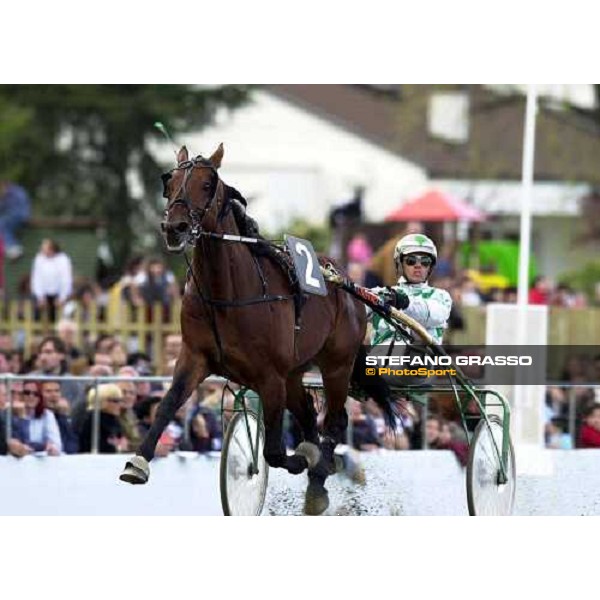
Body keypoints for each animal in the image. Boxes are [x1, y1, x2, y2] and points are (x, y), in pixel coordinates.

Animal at [118, 143, 366, 512]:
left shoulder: (270, 376)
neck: (226, 293)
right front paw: (138, 462)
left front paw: (300, 459)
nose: (175, 227)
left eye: (207, 184)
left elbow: (274, 452)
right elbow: (168, 404)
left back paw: (318, 474)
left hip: (337, 364)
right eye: (170, 181)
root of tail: (344, 279)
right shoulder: (194, 357)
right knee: (309, 415)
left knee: (333, 421)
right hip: (295, 373)